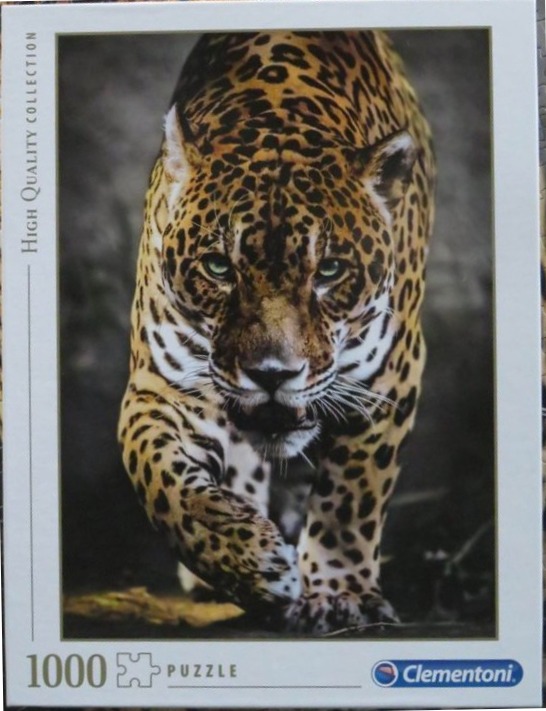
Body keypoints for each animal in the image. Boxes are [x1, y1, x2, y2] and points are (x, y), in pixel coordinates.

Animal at [118, 30, 435, 633]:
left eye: (329, 271)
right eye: (219, 267)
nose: (272, 375)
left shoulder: (387, 380)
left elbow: (350, 498)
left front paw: (340, 593)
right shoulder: (161, 386)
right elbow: (161, 479)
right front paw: (249, 563)